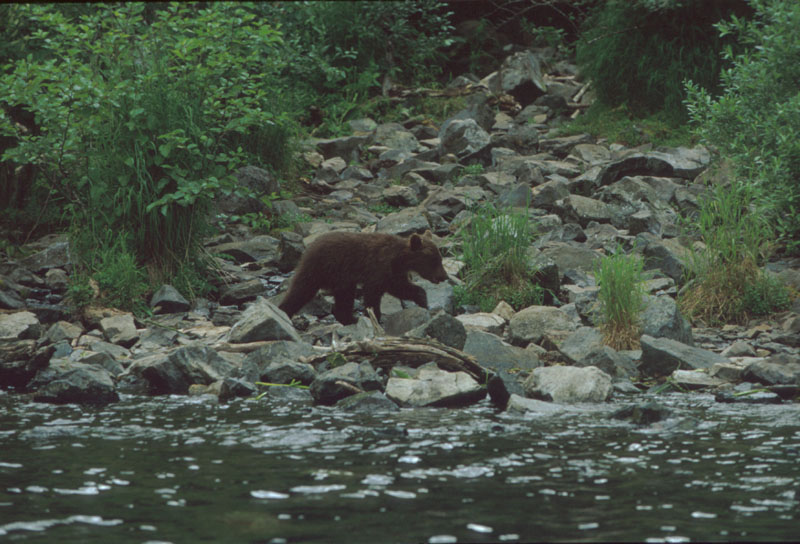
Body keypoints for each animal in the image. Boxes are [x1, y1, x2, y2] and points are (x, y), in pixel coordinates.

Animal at [278, 228, 446, 324]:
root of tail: (309, 247)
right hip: (324, 268)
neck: (399, 259)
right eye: (434, 260)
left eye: (440, 258)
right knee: (302, 290)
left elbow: (400, 287)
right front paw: (375, 316)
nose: (444, 276)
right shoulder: (378, 267)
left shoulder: (392, 273)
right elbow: (373, 294)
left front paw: (423, 300)